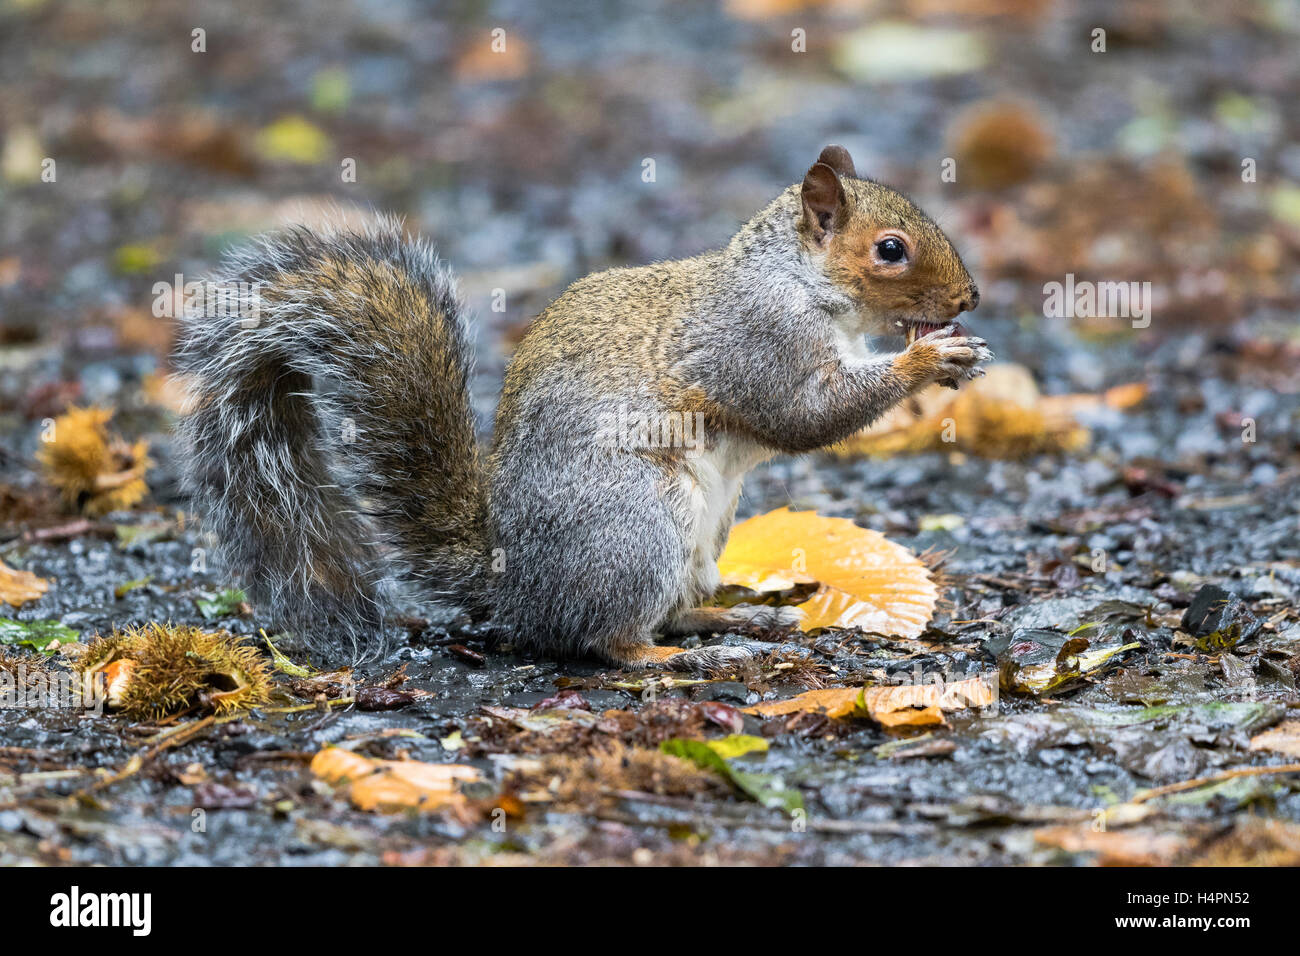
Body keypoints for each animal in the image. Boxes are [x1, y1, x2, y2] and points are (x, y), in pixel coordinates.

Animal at [178, 145, 987, 671]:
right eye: (891, 249)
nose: (969, 298)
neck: (799, 282)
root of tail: (515, 586)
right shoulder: (757, 341)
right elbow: (805, 413)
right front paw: (927, 361)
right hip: (638, 522)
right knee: (605, 637)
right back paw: (669, 659)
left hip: (702, 531)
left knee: (674, 609)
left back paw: (740, 615)